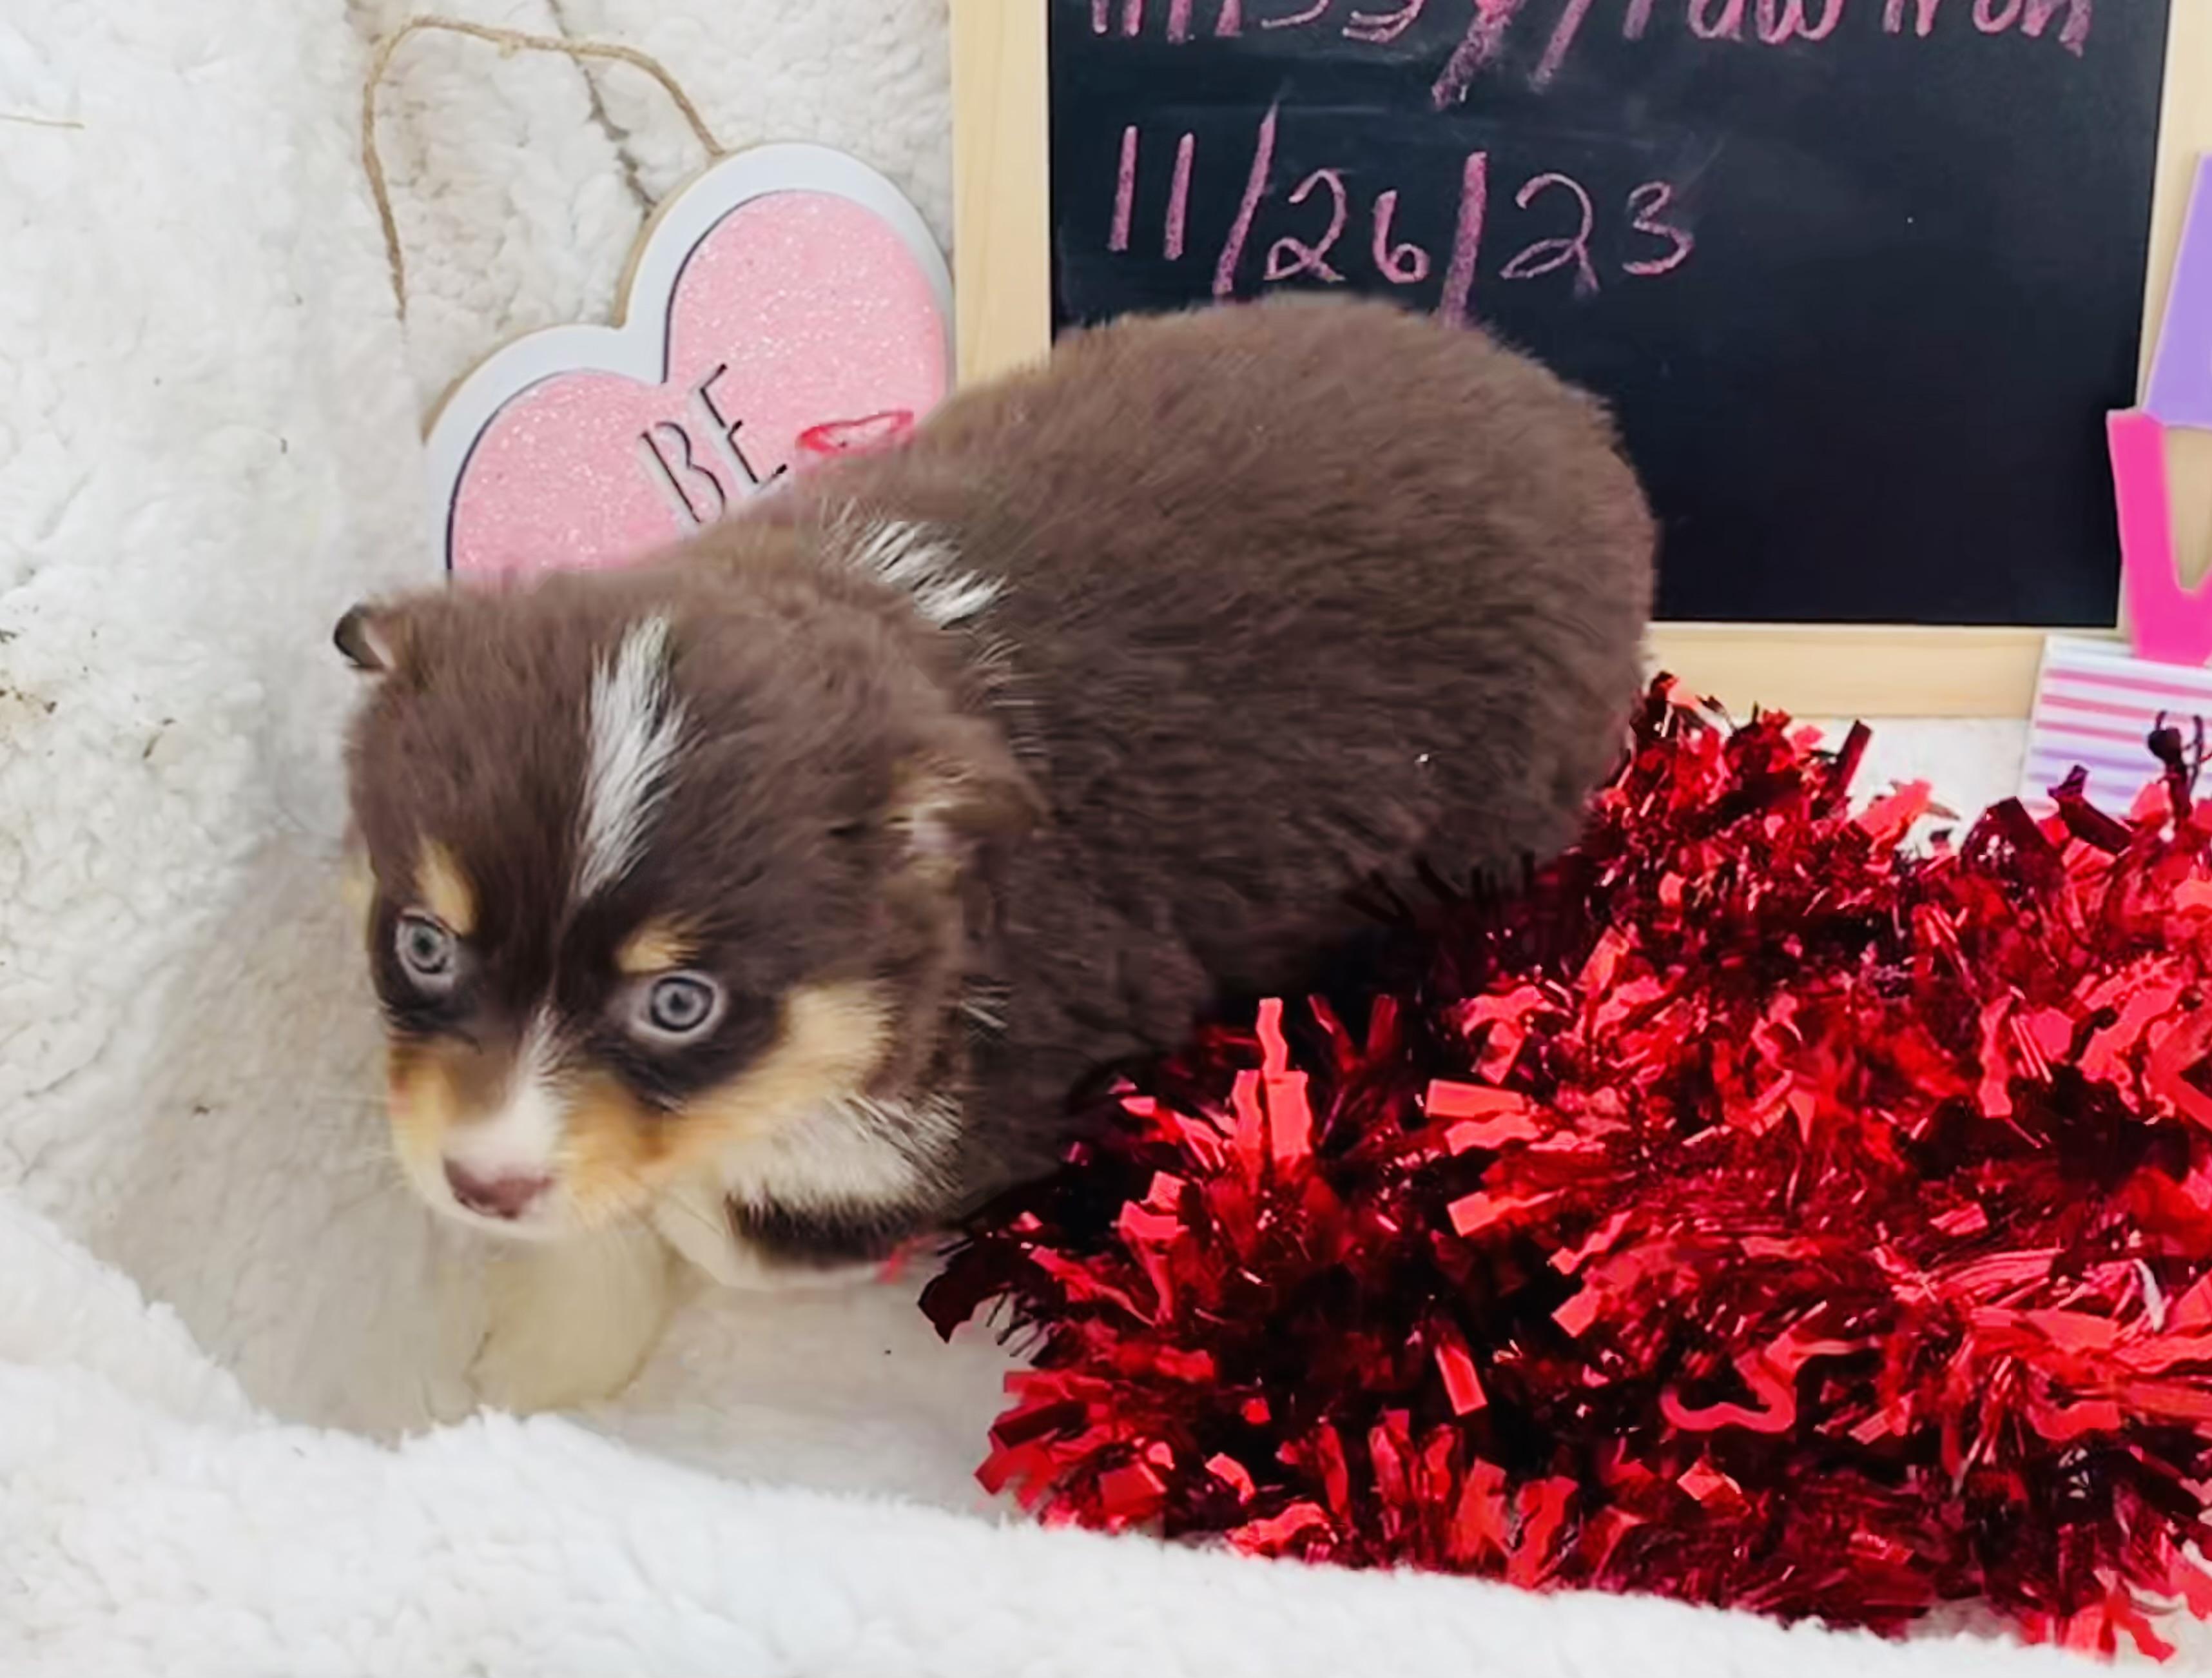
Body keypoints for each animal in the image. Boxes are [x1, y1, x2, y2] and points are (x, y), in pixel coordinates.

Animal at [335, 296, 1654, 1409]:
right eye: (423, 944)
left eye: (679, 1003)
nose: (481, 1182)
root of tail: (1580, 430)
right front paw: (541, 1356)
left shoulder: (994, 1109)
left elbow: (748, 1216)